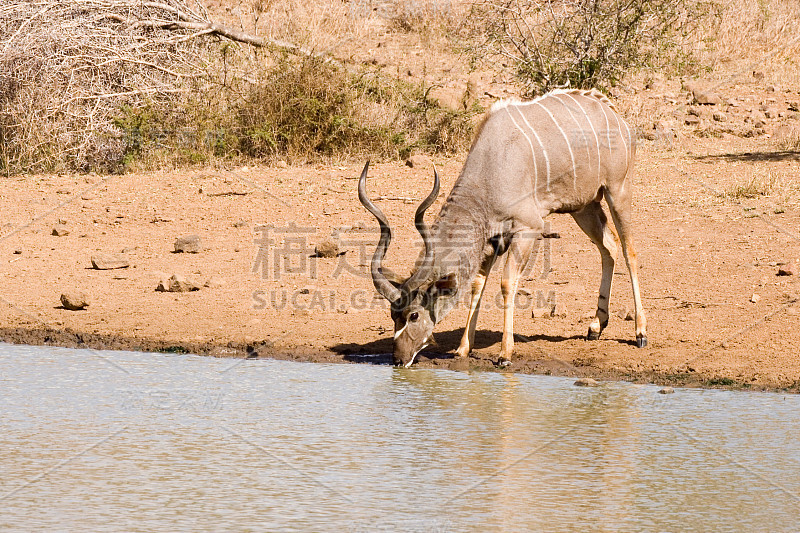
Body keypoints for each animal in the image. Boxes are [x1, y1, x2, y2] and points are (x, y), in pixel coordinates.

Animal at [360, 89, 648, 368]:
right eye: (392, 315)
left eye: (414, 314)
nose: (398, 359)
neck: (491, 171)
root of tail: (616, 117)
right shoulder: (492, 241)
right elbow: (478, 284)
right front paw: (463, 348)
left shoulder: (527, 229)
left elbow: (507, 283)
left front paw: (504, 354)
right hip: (584, 207)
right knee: (608, 247)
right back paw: (596, 326)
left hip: (617, 192)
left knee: (629, 251)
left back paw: (640, 333)